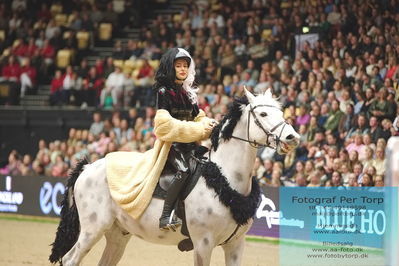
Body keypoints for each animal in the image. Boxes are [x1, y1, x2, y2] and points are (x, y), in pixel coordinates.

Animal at [48, 88, 300, 264]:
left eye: (281, 111)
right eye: (263, 113)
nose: (292, 137)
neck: (224, 181)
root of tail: (87, 168)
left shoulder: (235, 245)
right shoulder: (203, 244)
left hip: (118, 234)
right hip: (92, 230)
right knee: (70, 259)